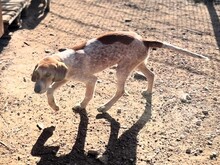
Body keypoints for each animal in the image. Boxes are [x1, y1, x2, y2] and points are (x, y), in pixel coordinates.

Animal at [31, 31, 208, 112]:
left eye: (48, 75)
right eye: (37, 75)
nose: (36, 90)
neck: (68, 59)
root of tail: (144, 40)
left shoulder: (90, 80)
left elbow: (88, 95)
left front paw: (81, 106)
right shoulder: (65, 78)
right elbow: (50, 91)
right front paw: (54, 106)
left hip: (122, 69)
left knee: (121, 91)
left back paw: (105, 107)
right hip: (138, 64)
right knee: (151, 75)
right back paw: (148, 92)